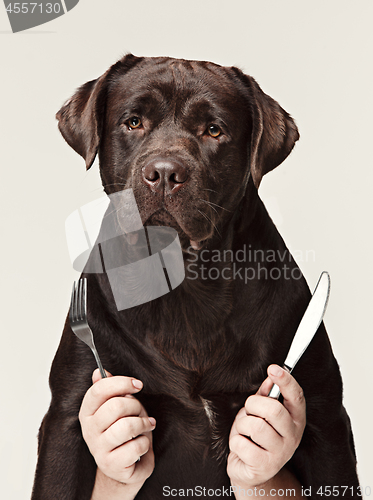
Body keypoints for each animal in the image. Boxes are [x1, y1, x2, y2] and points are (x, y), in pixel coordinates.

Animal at [31, 54, 358, 500]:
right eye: (133, 122)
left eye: (213, 130)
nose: (165, 173)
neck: (185, 282)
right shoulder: (67, 416)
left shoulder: (326, 421)